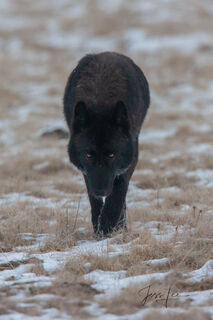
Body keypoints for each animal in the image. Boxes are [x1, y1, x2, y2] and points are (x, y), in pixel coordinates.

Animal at [63, 52, 150, 235]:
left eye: (111, 154)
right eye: (89, 154)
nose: (100, 191)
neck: (100, 101)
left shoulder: (130, 157)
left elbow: (118, 191)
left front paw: (108, 224)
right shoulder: (86, 169)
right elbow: (93, 198)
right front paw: (99, 225)